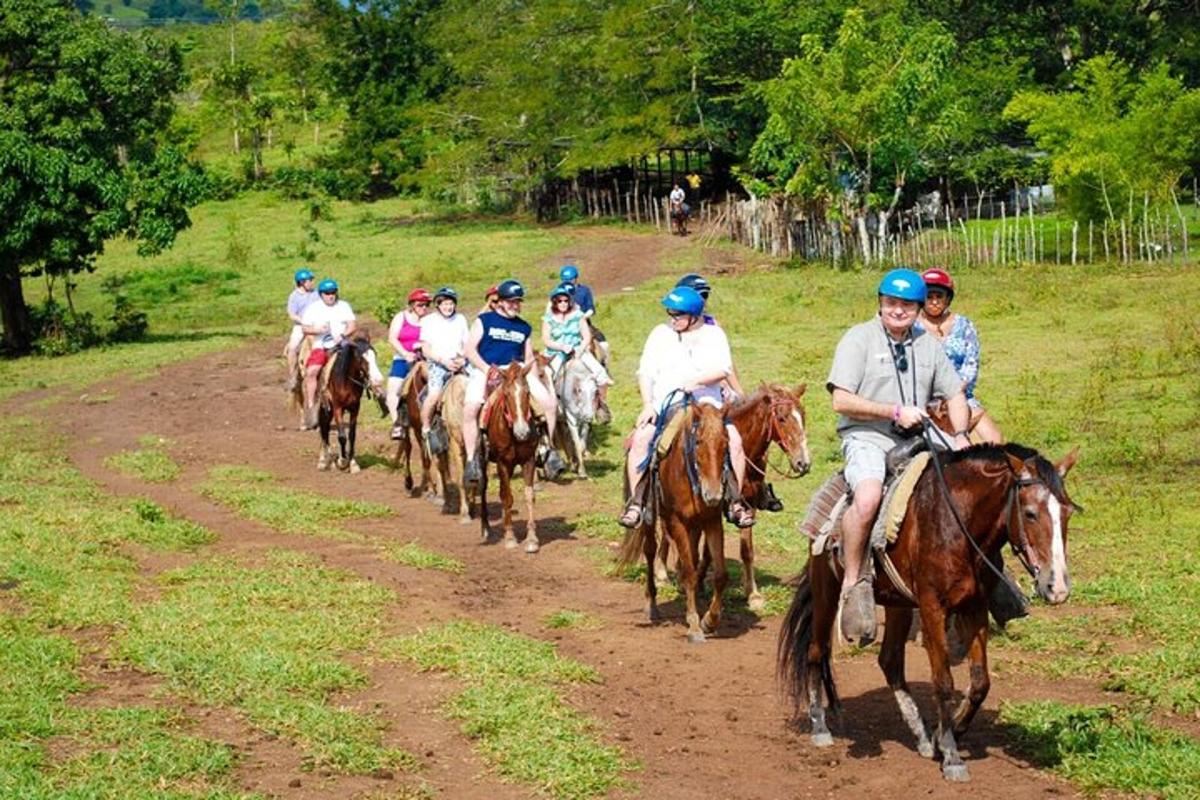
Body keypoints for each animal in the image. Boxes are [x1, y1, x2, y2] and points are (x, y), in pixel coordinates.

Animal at [480, 362, 542, 551]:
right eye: (506, 394)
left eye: (527, 392)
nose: (522, 432)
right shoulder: (502, 462)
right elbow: (507, 497)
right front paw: (509, 537)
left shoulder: (528, 460)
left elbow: (529, 495)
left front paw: (532, 539)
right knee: (483, 488)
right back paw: (486, 528)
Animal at [619, 400, 729, 642]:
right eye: (698, 442)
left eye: (726, 443)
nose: (713, 494)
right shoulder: (677, 522)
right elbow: (688, 573)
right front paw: (694, 625)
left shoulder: (712, 521)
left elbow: (719, 575)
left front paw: (710, 620)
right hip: (650, 516)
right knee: (650, 551)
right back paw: (651, 604)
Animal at [777, 441, 1080, 777]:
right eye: (1029, 513)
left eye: (1068, 512)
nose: (1057, 587)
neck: (957, 523)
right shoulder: (933, 607)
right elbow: (944, 682)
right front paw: (951, 754)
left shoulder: (975, 607)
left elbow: (980, 683)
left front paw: (947, 734)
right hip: (827, 590)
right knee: (817, 651)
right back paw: (820, 728)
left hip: (897, 603)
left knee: (890, 661)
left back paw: (920, 736)